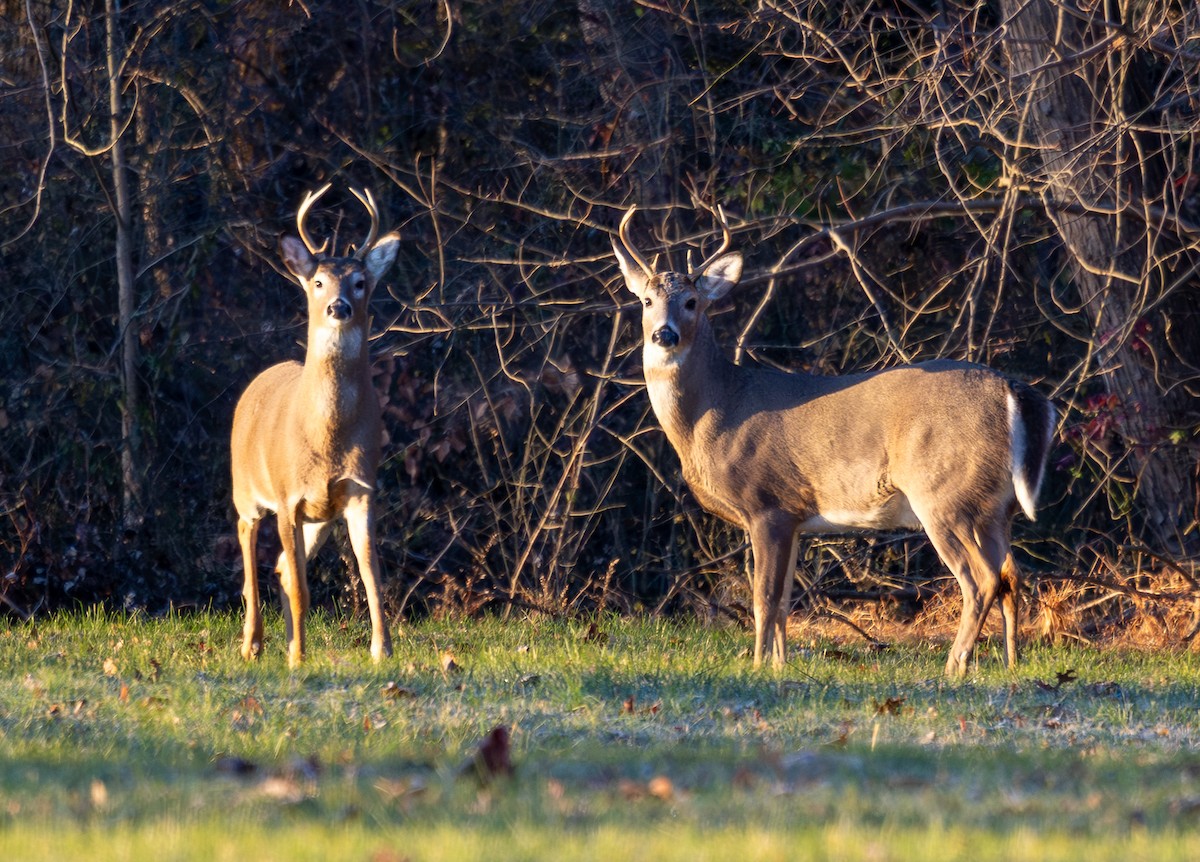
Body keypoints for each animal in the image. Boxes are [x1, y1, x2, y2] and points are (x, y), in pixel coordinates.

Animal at [231, 184, 400, 668]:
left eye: (360, 282)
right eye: (319, 281)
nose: (338, 307)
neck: (327, 438)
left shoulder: (359, 491)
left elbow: (371, 576)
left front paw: (382, 650)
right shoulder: (288, 496)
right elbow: (303, 588)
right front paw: (297, 658)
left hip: (318, 520)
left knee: (282, 569)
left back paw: (285, 641)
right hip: (246, 490)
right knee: (251, 551)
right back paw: (253, 644)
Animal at [611, 206, 1057, 676]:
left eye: (692, 302)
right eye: (646, 301)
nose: (664, 334)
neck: (717, 411)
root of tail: (1009, 389)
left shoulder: (768, 504)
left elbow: (763, 598)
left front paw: (757, 665)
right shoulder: (794, 517)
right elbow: (784, 601)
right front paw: (780, 665)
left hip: (943, 493)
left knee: (981, 579)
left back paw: (954, 666)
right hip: (996, 507)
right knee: (1011, 575)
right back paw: (1010, 663)